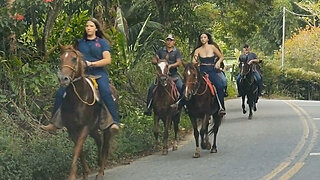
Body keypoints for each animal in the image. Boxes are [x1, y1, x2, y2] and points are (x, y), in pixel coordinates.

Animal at [58, 44, 114, 180]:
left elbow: (77, 149)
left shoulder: (84, 127)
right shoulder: (72, 129)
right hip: (93, 128)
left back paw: (100, 172)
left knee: (105, 145)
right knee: (99, 140)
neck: (76, 100)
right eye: (60, 59)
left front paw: (73, 175)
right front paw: (85, 172)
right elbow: (79, 150)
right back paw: (99, 162)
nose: (63, 79)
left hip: (105, 127)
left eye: (74, 58)